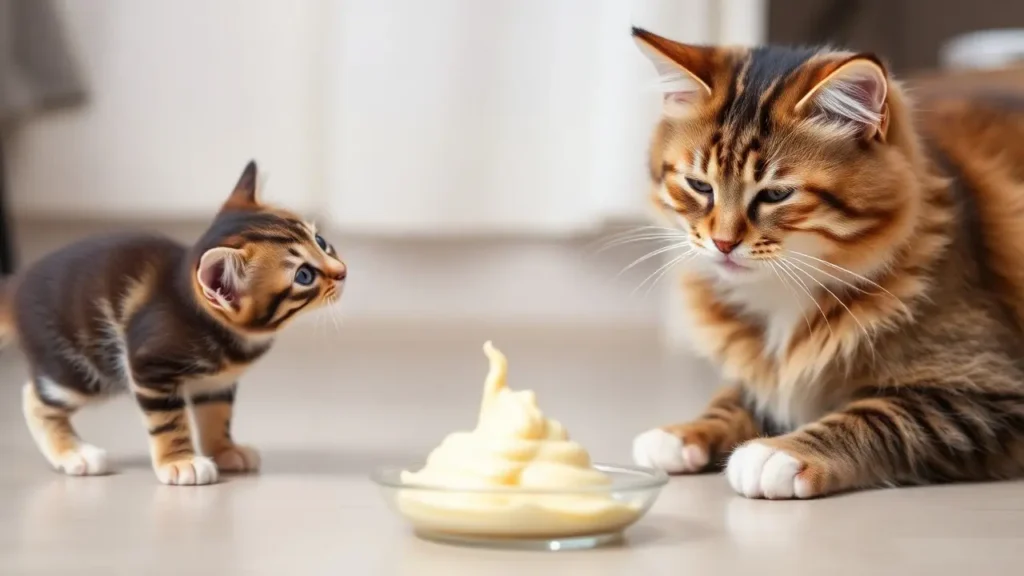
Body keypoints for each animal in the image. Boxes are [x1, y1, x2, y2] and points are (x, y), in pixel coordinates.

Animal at [0, 161, 348, 483]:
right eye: (304, 275)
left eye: (321, 240)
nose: (343, 271)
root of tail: (16, 286)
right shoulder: (149, 369)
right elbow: (168, 422)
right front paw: (180, 462)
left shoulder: (217, 383)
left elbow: (216, 415)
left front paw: (224, 450)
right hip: (82, 370)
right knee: (34, 399)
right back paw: (74, 454)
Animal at [626, 26, 1024, 496]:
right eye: (699, 186)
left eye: (776, 194)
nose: (722, 243)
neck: (782, 294)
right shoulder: (763, 372)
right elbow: (734, 397)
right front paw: (683, 433)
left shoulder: (989, 388)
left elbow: (878, 415)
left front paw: (780, 452)